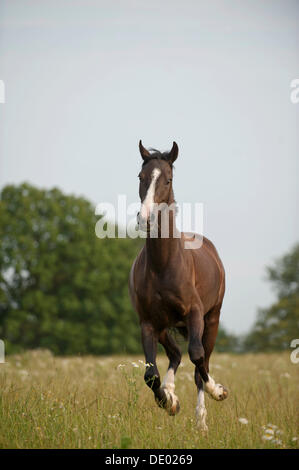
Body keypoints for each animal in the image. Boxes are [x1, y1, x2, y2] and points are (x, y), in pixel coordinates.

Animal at [127, 141, 229, 432]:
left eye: (168, 179)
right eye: (140, 177)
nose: (146, 218)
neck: (163, 265)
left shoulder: (195, 314)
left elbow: (197, 357)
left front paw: (218, 391)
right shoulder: (148, 323)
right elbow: (150, 374)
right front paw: (169, 401)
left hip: (212, 319)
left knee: (200, 362)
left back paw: (202, 419)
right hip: (165, 326)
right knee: (174, 355)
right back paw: (171, 392)